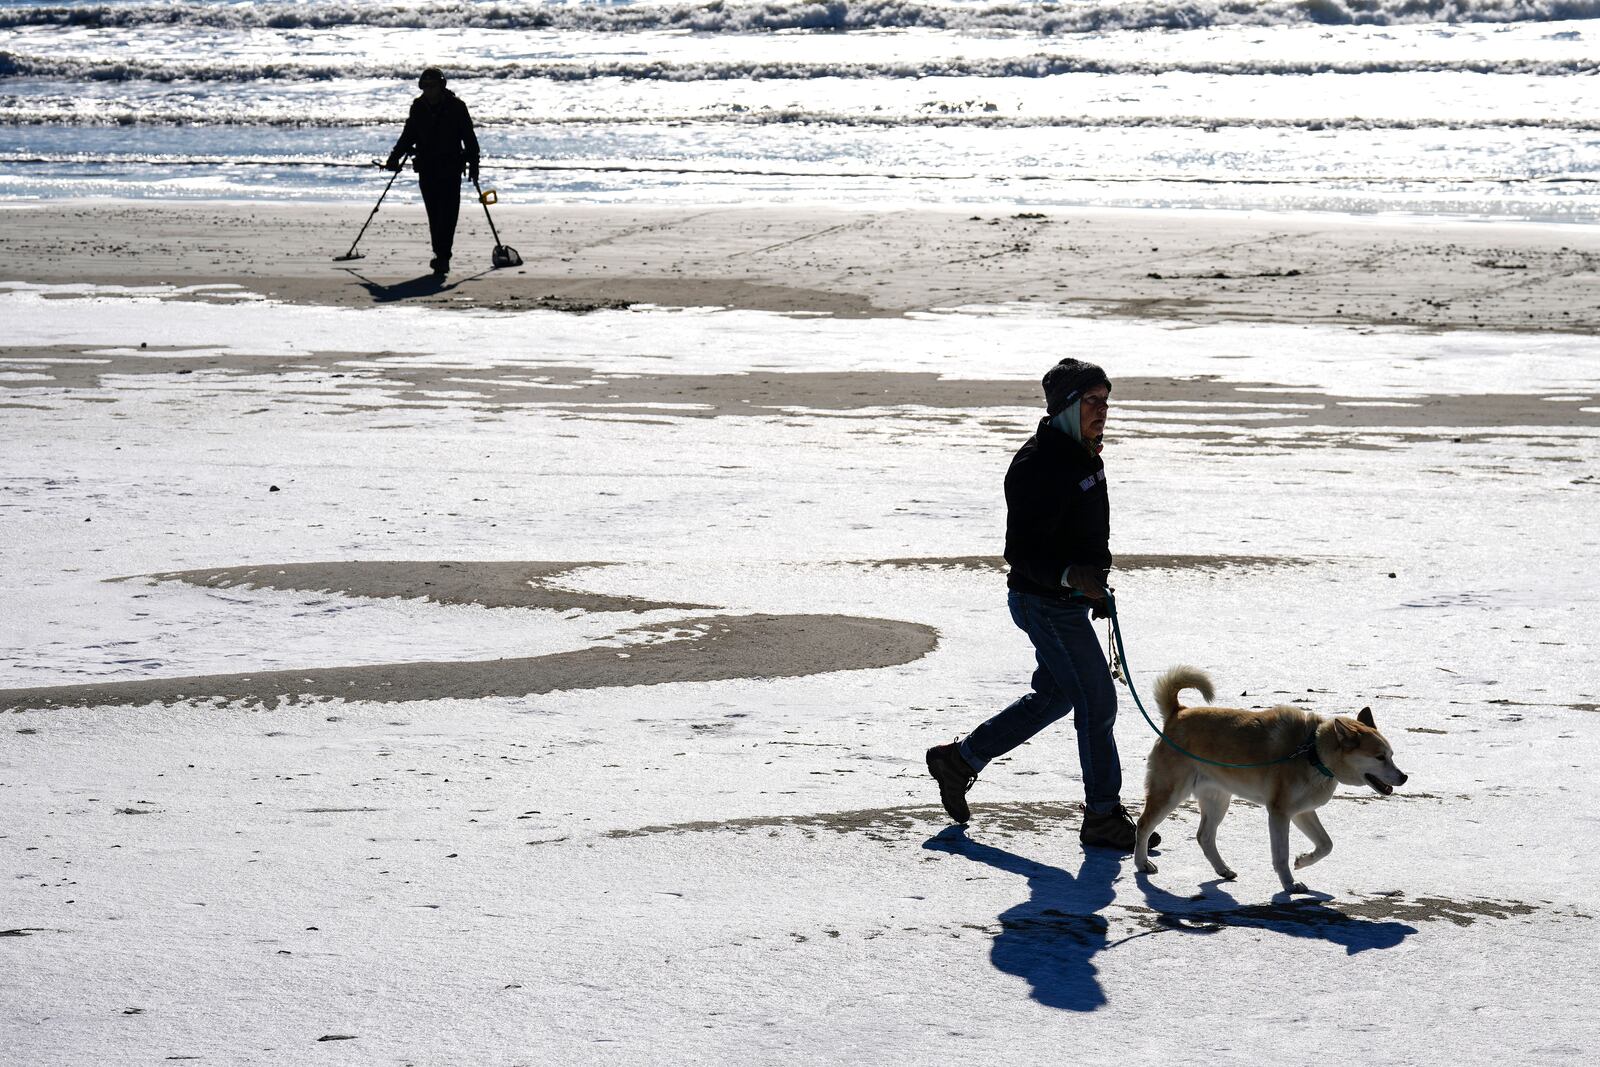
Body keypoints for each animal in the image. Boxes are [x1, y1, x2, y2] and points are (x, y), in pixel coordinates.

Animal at [1132, 662, 1408, 895]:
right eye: (1380, 757)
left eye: (1391, 755)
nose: (1404, 777)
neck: (1313, 753)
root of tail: (1177, 714)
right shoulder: (1279, 813)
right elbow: (1281, 855)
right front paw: (1289, 884)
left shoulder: (1302, 812)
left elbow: (1326, 844)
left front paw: (1303, 861)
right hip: (1170, 794)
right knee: (1144, 825)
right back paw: (1142, 863)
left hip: (1218, 799)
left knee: (1204, 836)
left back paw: (1223, 869)